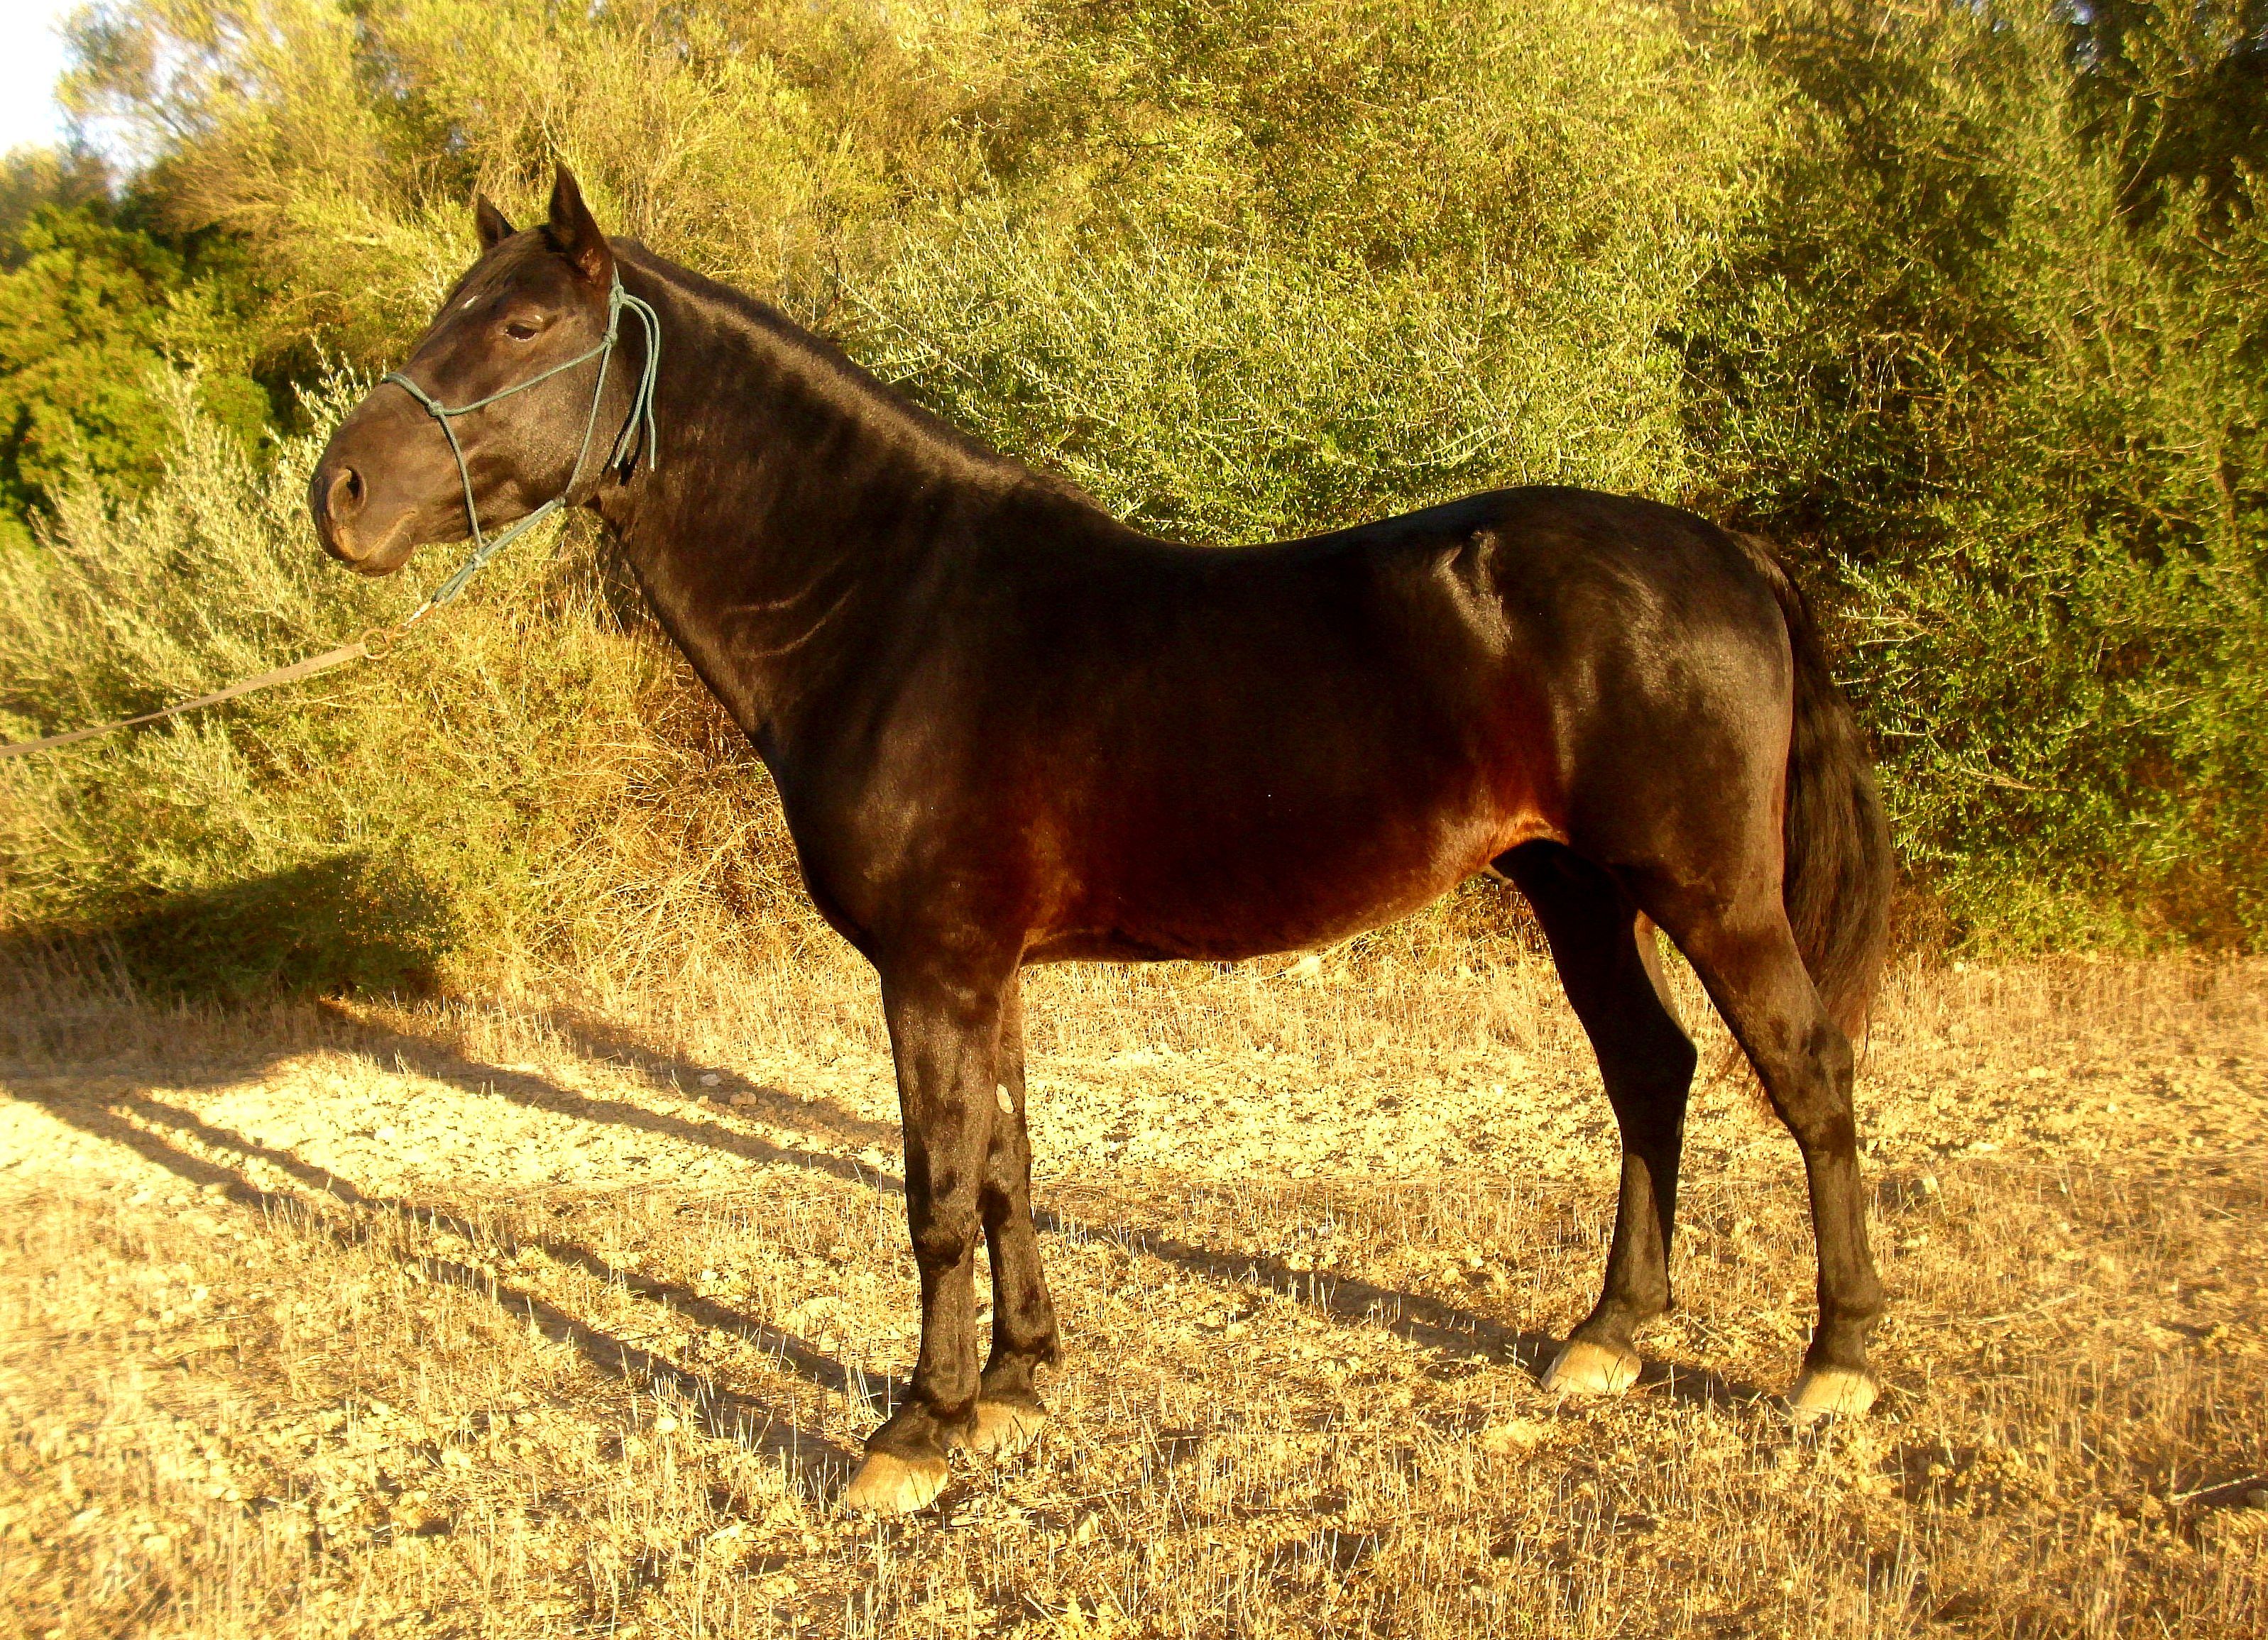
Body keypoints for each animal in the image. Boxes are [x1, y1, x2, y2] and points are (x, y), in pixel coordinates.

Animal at [311, 167, 1894, 1515]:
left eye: (521, 322)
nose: (341, 496)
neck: (893, 607)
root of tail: (1729, 555)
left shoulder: (933, 967)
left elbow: (938, 1193)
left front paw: (916, 1432)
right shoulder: (980, 969)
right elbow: (1010, 1163)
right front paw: (1018, 1385)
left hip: (1705, 891)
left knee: (1808, 1076)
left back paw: (1837, 1364)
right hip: (1575, 888)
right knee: (1651, 1071)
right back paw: (1610, 1335)